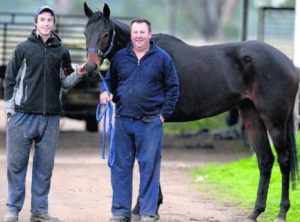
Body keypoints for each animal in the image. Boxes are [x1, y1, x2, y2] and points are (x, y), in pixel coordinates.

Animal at [83, 2, 298, 222]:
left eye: (106, 34)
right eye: (85, 32)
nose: (90, 68)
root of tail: (288, 63)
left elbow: (150, 159)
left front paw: (144, 209)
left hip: (275, 120)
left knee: (284, 160)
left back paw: (282, 212)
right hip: (251, 116)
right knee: (265, 160)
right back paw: (255, 212)